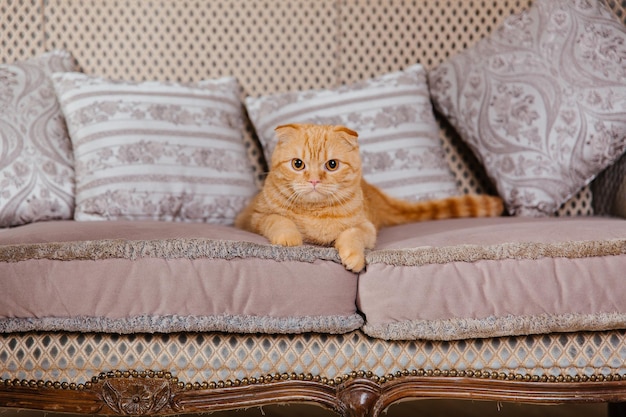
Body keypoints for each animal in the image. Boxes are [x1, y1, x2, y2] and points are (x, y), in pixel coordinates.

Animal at [234, 122, 502, 270]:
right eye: (298, 164)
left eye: (332, 165)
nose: (314, 180)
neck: (315, 213)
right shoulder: (256, 217)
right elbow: (279, 220)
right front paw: (289, 238)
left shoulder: (366, 227)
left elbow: (352, 234)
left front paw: (353, 257)